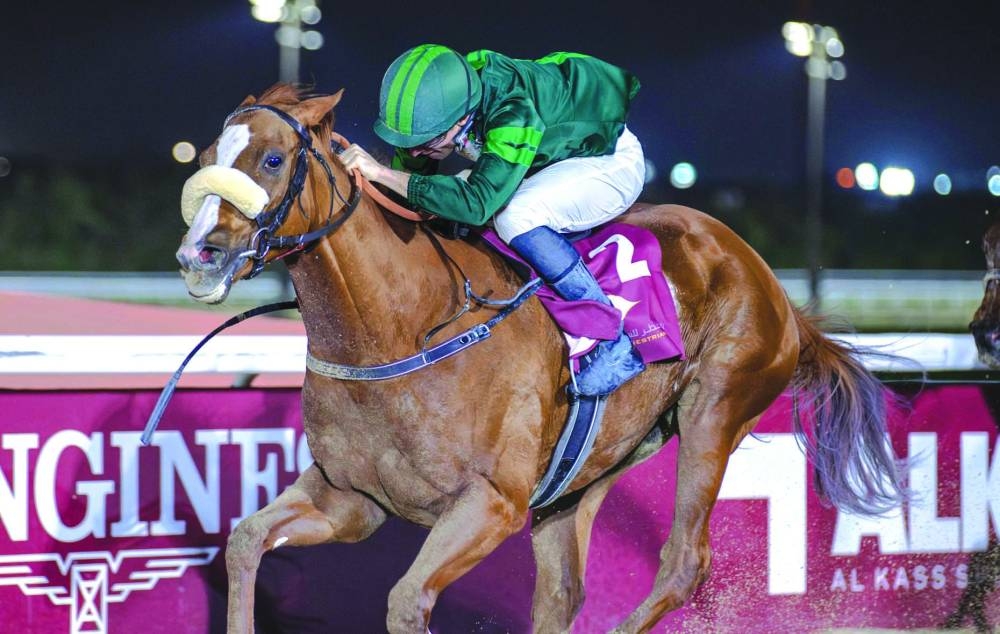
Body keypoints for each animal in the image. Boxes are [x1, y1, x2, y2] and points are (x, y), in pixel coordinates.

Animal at [174, 84, 905, 633]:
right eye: (206, 154)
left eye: (272, 160)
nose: (197, 256)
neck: (398, 330)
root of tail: (775, 289)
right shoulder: (351, 499)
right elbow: (243, 542)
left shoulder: (491, 504)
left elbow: (407, 601)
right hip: (593, 465)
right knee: (562, 592)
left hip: (716, 411)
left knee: (682, 562)